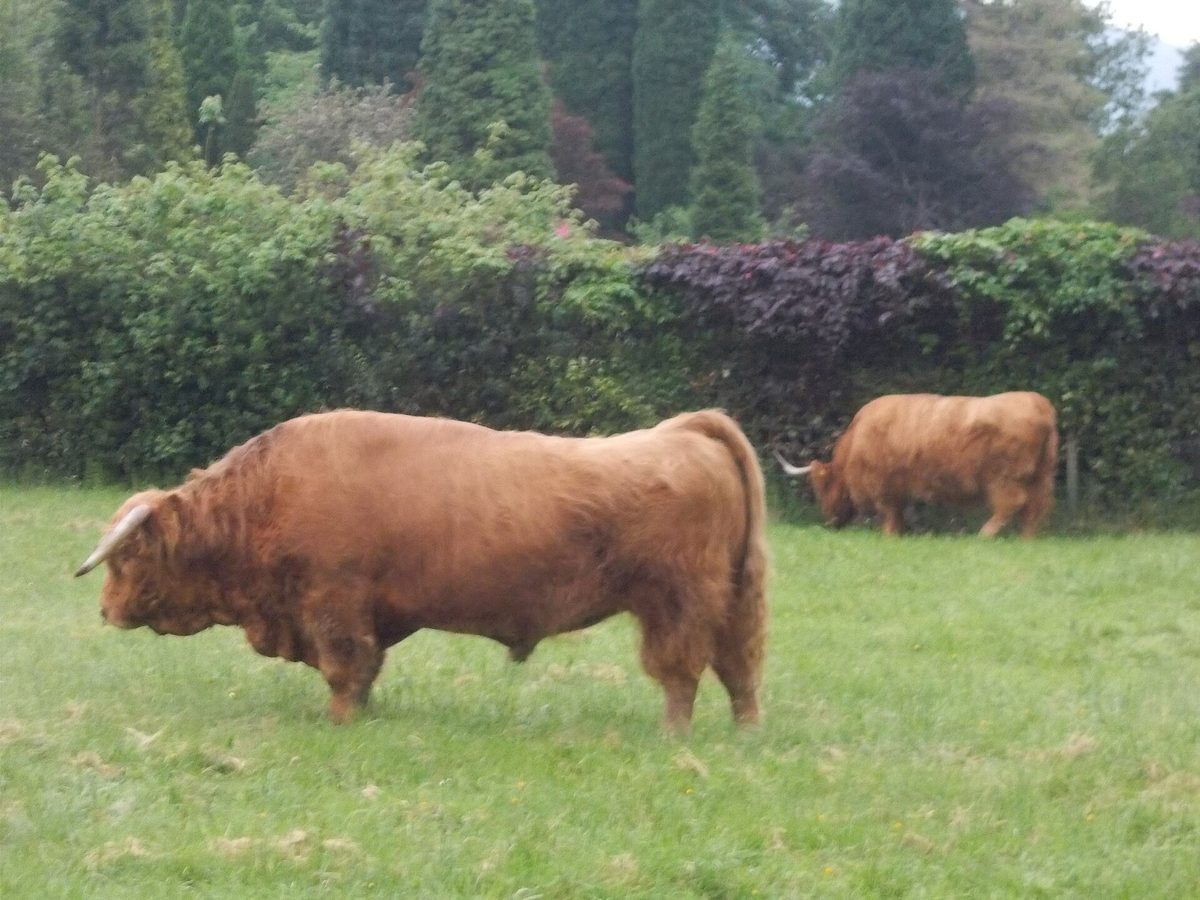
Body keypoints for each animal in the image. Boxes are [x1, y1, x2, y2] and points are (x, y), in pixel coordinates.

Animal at [75, 409, 768, 732]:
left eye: (127, 556)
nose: (104, 611)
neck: (264, 496)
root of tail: (684, 431)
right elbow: (366, 671)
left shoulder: (334, 606)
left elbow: (344, 670)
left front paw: (341, 722)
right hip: (732, 602)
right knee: (739, 672)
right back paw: (742, 734)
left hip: (676, 606)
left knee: (682, 673)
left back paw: (673, 735)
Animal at [774, 392, 1058, 538]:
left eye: (819, 488)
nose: (831, 522)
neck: (855, 442)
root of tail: (1040, 404)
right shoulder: (899, 490)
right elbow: (899, 514)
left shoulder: (883, 488)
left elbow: (889, 515)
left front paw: (889, 536)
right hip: (1041, 476)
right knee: (1034, 509)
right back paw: (1027, 539)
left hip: (1003, 478)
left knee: (1012, 504)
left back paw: (984, 534)